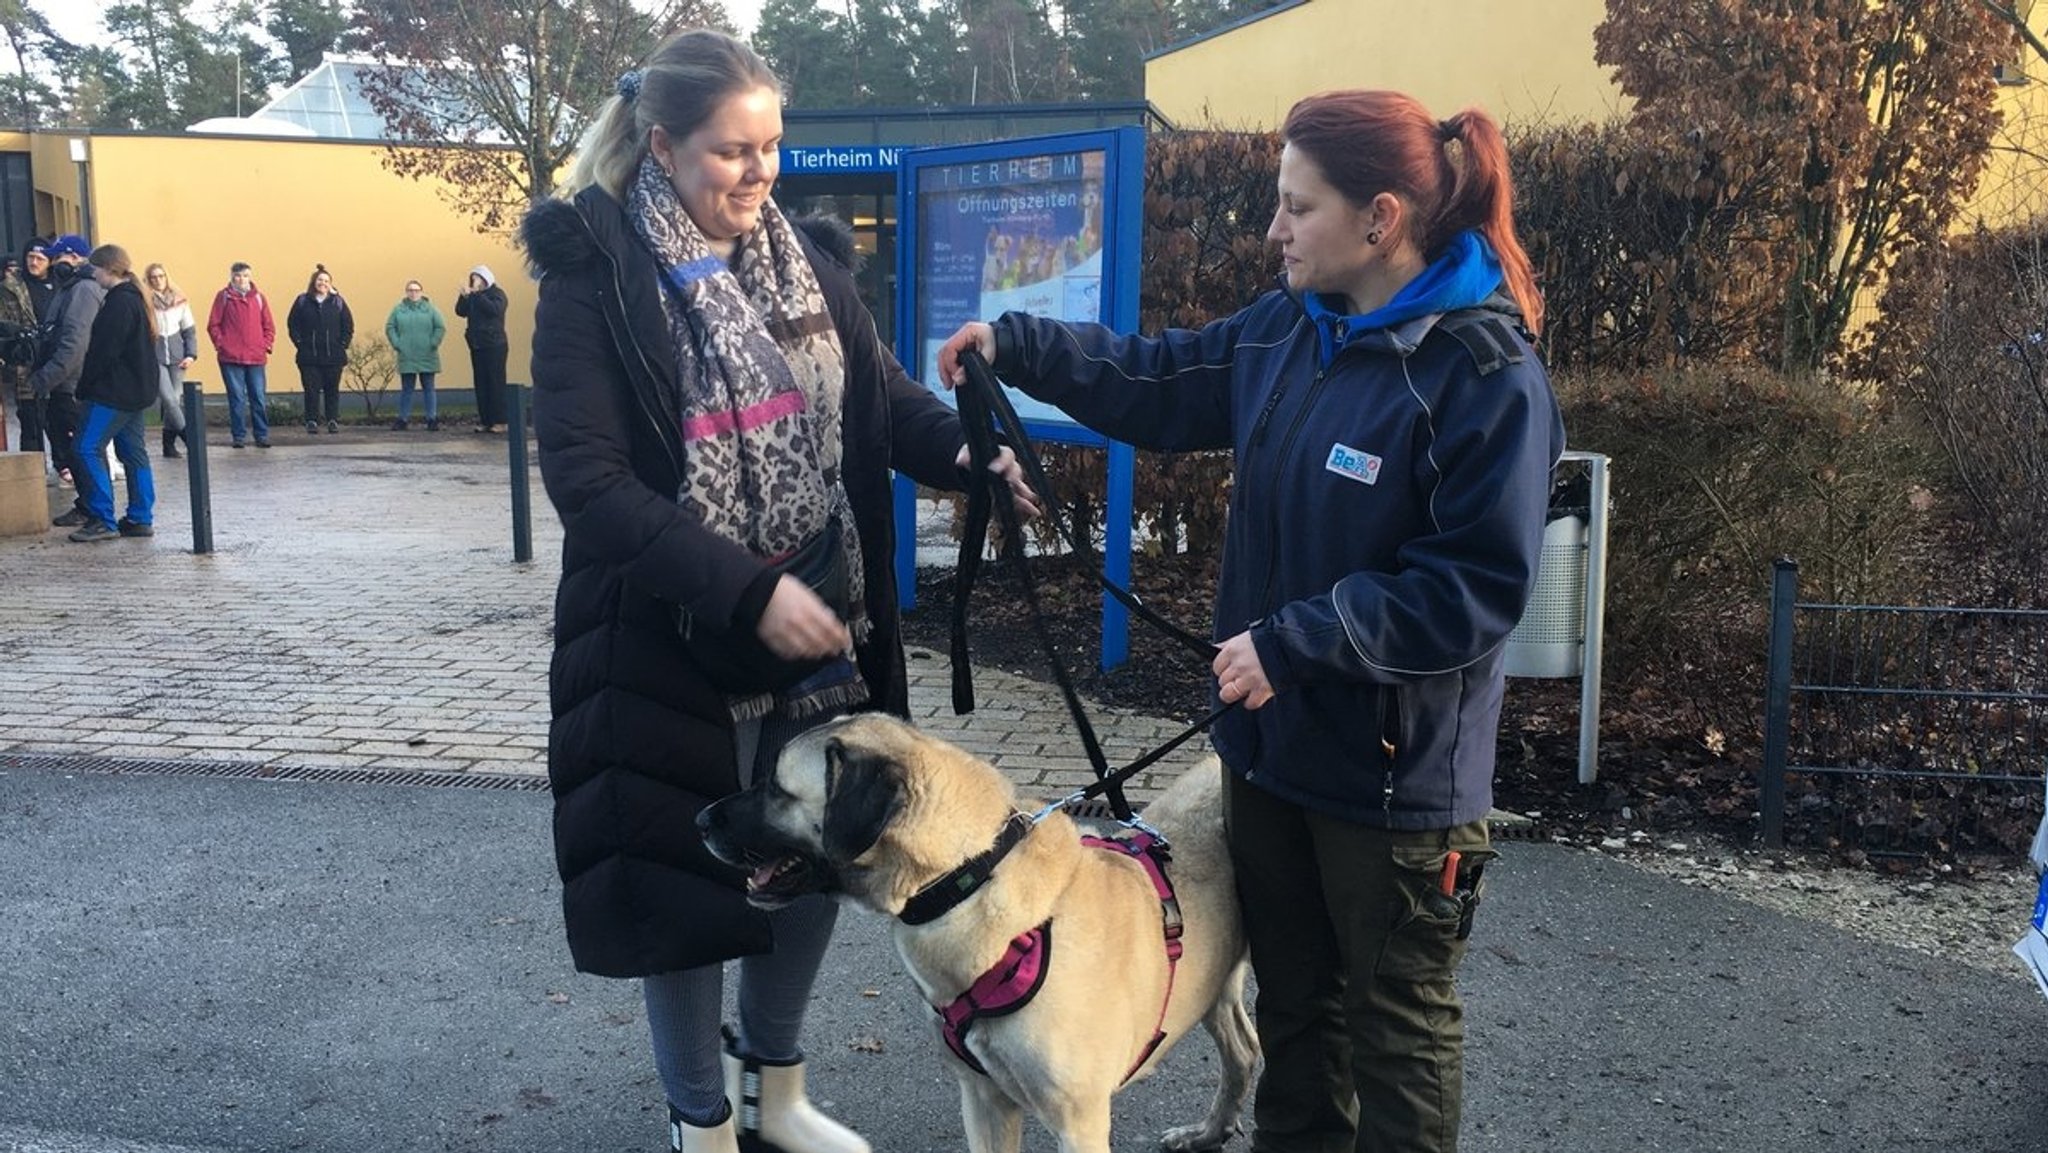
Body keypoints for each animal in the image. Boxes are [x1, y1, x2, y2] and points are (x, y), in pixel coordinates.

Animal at [696, 716, 1253, 1146]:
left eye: (775, 786)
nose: (699, 819)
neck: (971, 878)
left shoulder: (1080, 1123)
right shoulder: (984, 1100)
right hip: (1212, 984)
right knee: (1244, 1053)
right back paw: (1209, 1131)